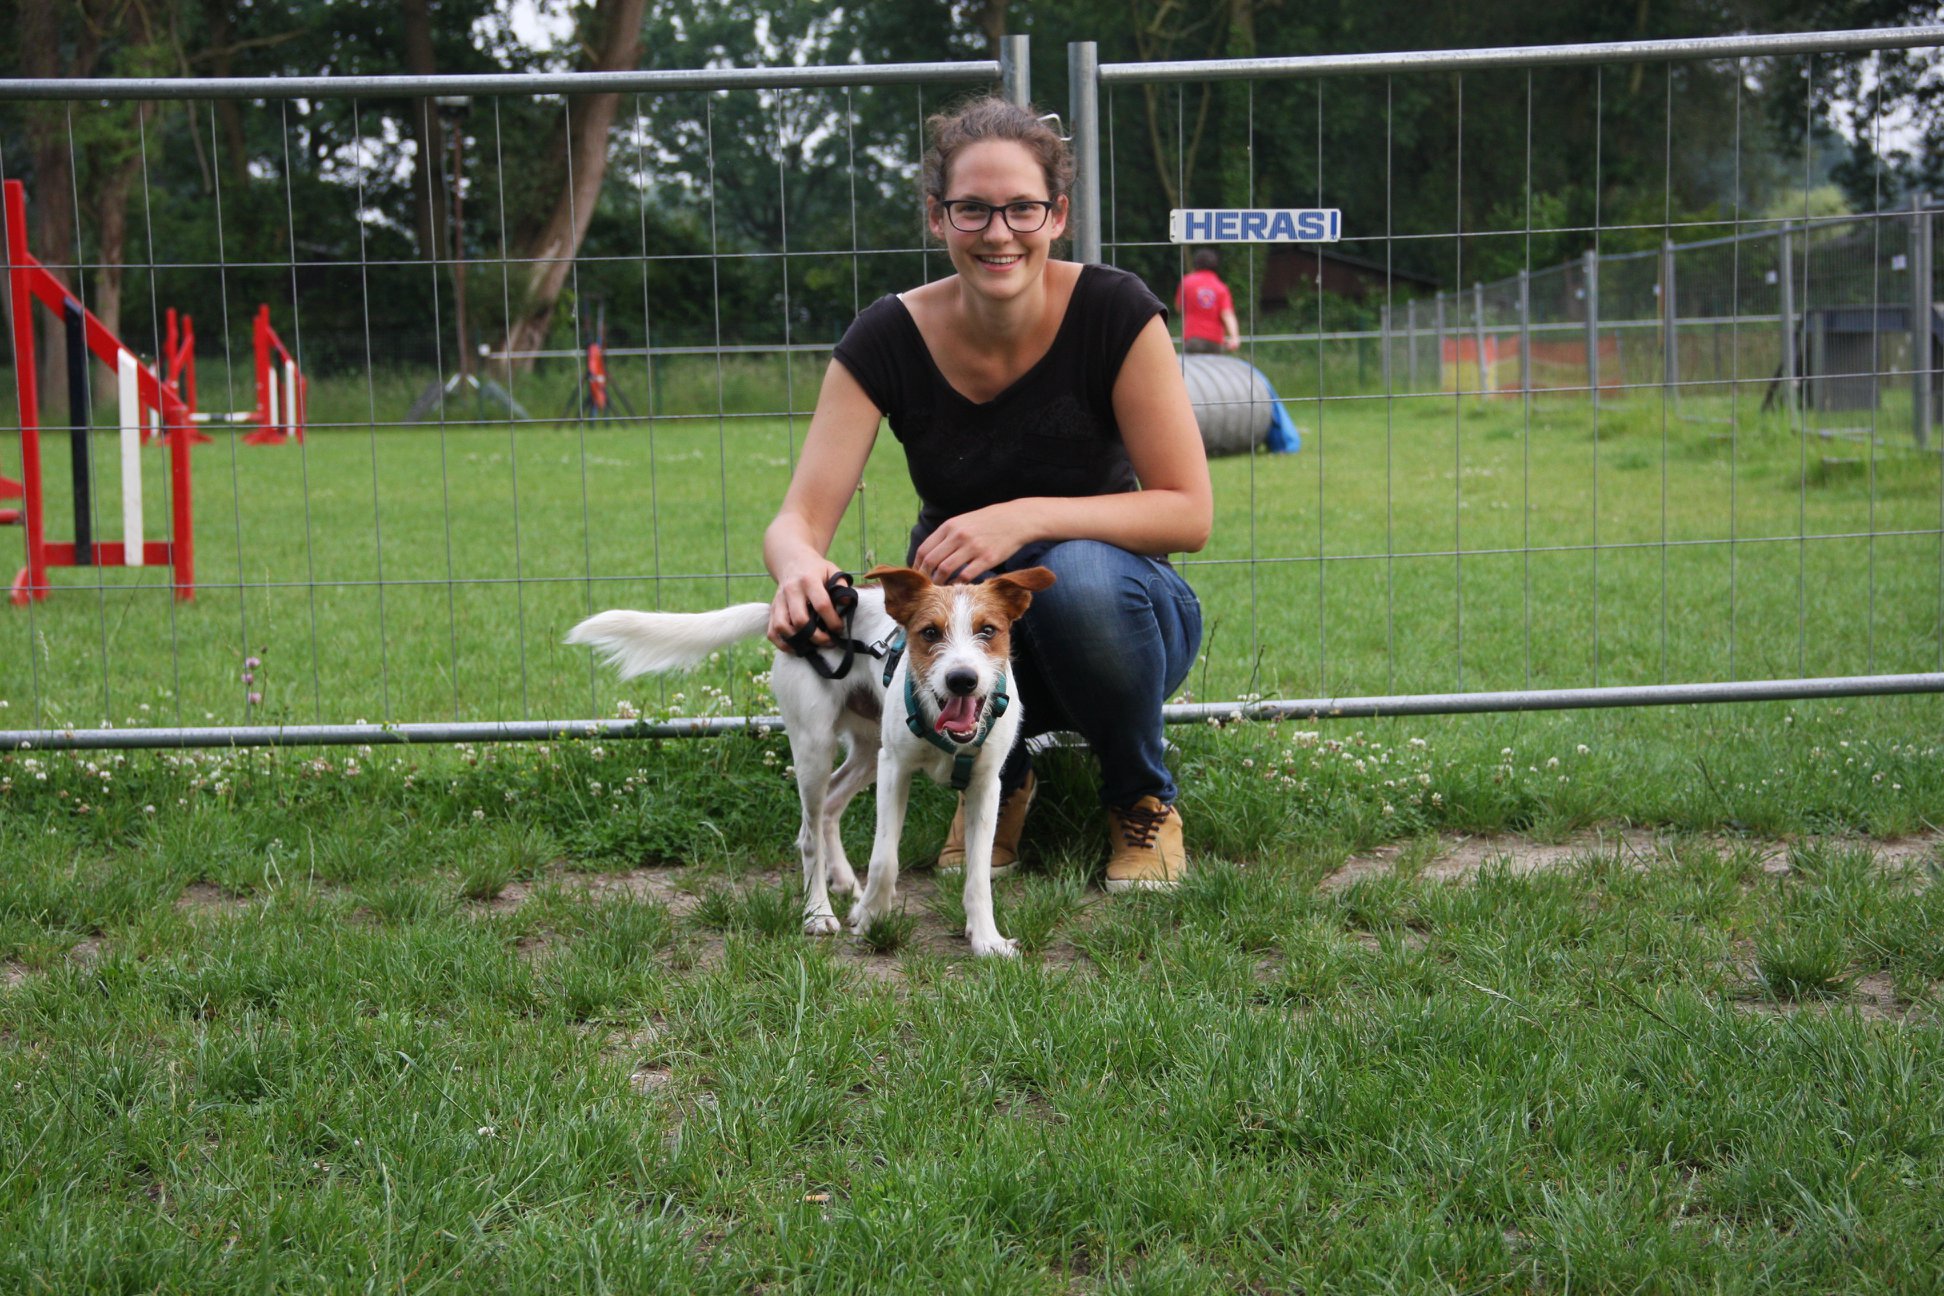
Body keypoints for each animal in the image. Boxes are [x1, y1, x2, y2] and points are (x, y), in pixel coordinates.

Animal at [563, 563, 1057, 959]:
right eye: (930, 633)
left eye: (988, 631)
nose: (961, 679)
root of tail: (799, 620)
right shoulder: (895, 769)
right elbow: (885, 860)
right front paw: (871, 917)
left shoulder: (985, 784)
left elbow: (978, 875)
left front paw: (987, 939)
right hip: (816, 747)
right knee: (808, 834)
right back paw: (819, 911)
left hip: (866, 751)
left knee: (832, 806)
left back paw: (845, 883)